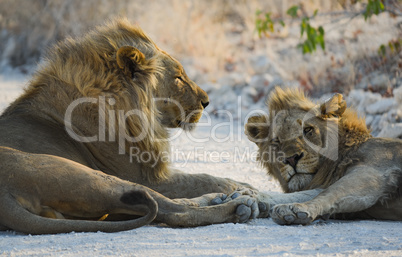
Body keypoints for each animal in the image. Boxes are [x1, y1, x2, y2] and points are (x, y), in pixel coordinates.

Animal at [0, 18, 258, 234]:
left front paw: (241, 186)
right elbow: (201, 178)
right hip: (93, 177)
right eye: (178, 77)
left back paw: (219, 199)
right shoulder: (146, 177)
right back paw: (239, 205)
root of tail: (5, 197)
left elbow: (197, 177)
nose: (207, 102)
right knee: (175, 212)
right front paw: (247, 188)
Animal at [247, 87, 400, 224]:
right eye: (276, 140)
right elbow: (302, 194)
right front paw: (252, 199)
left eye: (308, 130)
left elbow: (330, 193)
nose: (291, 159)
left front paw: (294, 209)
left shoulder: (372, 172)